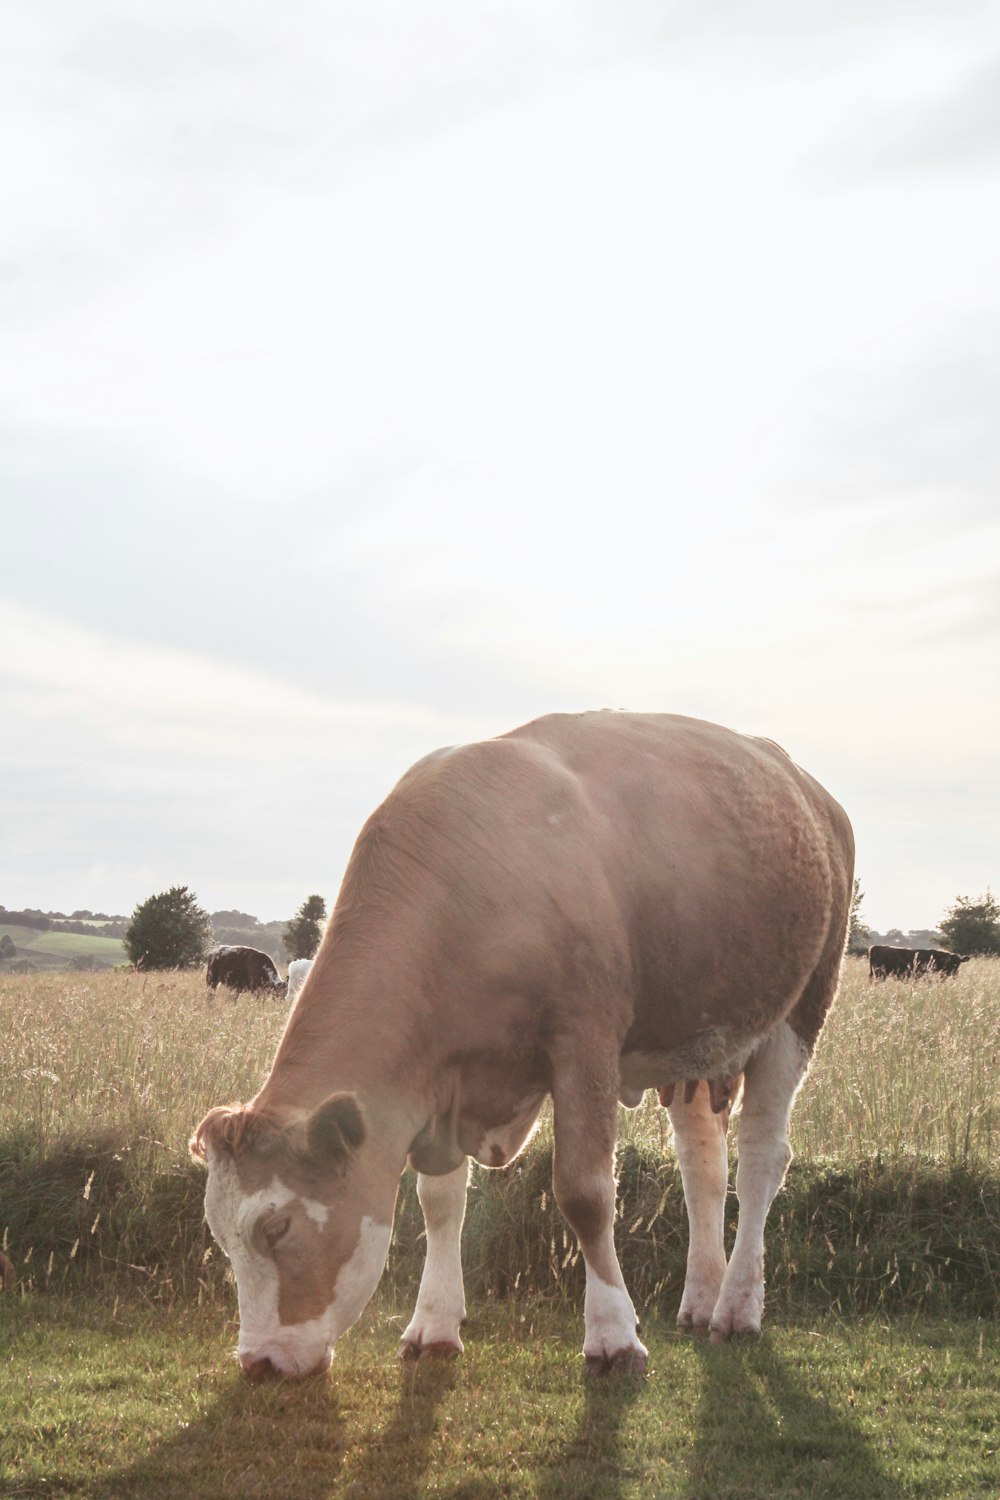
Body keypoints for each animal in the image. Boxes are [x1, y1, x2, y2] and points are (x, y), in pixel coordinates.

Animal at [193, 714, 851, 1380]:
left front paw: (613, 1334)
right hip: (693, 1044)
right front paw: (434, 1323)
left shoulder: (584, 1041)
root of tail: (807, 786)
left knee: (762, 1158)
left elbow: (585, 1193)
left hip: (800, 1011)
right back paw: (700, 1297)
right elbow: (438, 1202)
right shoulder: (442, 1078)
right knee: (704, 1168)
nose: (259, 1361)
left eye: (277, 1226)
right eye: (218, 1233)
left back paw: (738, 1306)